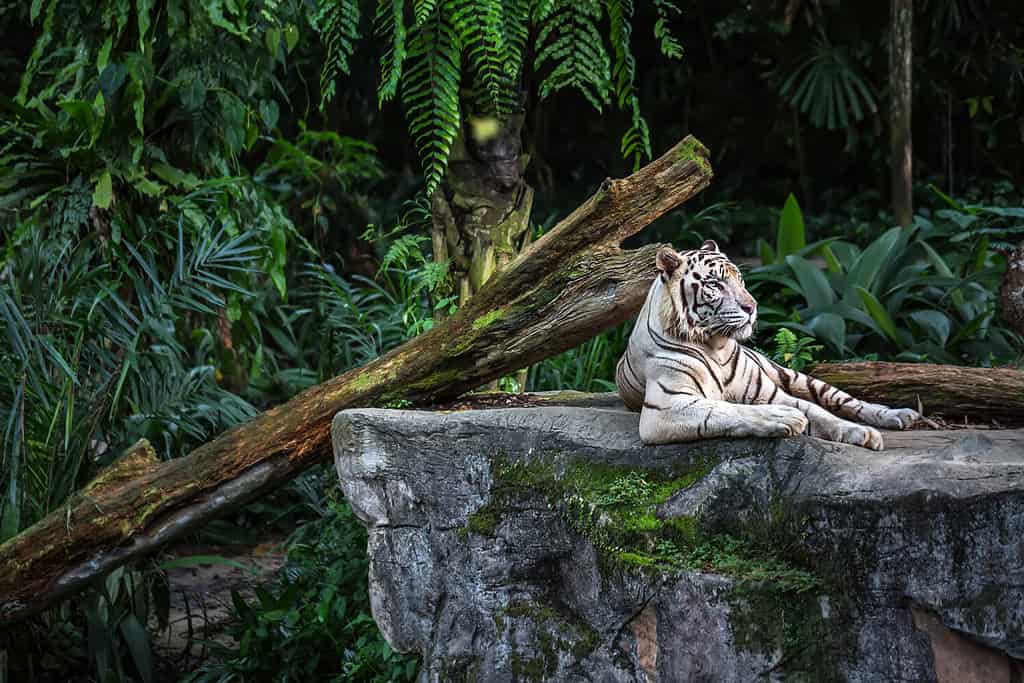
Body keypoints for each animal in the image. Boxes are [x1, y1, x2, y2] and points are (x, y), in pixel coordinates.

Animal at [614, 240, 921, 448]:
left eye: (740, 280)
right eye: (715, 285)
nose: (752, 307)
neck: (717, 346)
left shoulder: (770, 392)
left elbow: (819, 412)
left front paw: (861, 433)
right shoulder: (665, 407)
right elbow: (728, 409)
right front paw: (785, 419)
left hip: (793, 376)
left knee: (845, 401)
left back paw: (899, 415)